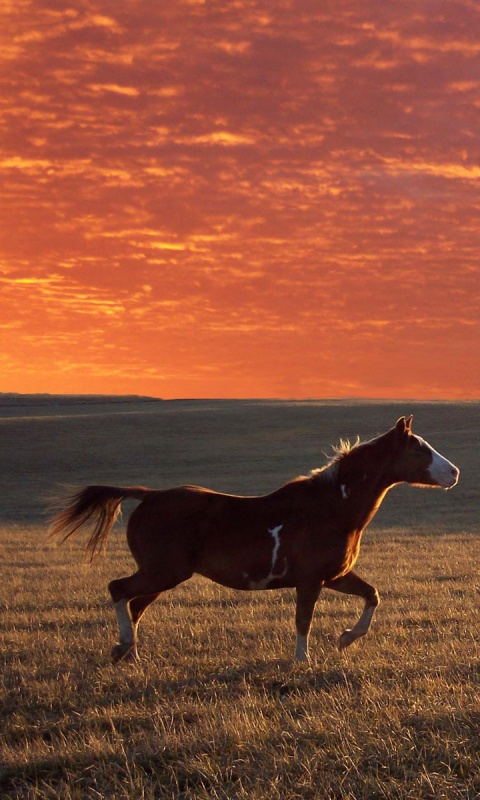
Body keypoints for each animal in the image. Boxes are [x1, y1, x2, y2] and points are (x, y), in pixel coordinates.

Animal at [47, 416, 458, 664]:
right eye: (420, 449)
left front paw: (345, 639)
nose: (454, 472)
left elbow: (372, 595)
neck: (332, 507)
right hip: (163, 572)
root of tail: (148, 496)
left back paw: (129, 652)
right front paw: (302, 661)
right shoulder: (310, 580)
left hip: (164, 575)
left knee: (134, 605)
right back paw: (124, 645)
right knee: (119, 589)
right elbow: (303, 619)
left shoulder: (335, 576)